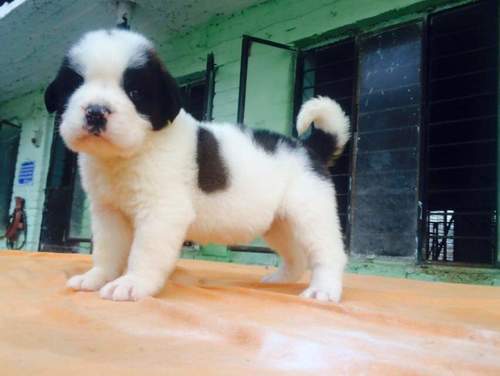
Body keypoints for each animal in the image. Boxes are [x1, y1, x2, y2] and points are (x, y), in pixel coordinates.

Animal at [45, 30, 350, 304]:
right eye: (74, 86)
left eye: (134, 92)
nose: (96, 112)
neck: (132, 152)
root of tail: (309, 147)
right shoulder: (109, 213)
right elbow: (107, 250)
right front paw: (97, 277)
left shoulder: (162, 212)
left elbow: (145, 252)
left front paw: (133, 283)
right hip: (279, 224)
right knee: (295, 254)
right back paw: (280, 280)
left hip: (310, 213)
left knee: (328, 252)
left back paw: (323, 290)